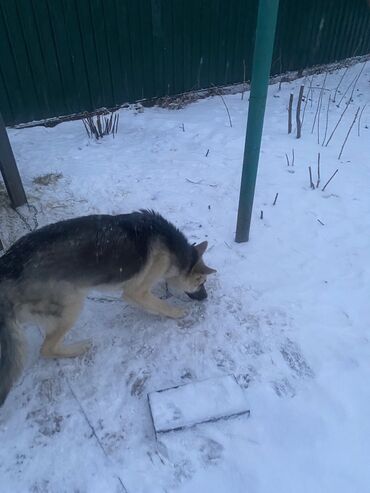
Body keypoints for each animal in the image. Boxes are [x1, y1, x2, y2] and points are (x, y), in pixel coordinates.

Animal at [0, 209, 215, 406]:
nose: (206, 298)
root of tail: (7, 267)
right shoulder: (136, 292)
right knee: (46, 349)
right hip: (73, 304)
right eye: (201, 282)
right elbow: (160, 305)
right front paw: (177, 312)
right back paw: (78, 348)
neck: (173, 250)